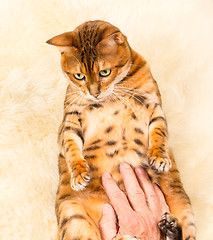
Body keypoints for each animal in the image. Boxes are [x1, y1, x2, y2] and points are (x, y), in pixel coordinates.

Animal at [47, 20, 196, 240]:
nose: (94, 93)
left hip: (184, 207)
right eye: (79, 76)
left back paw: (170, 227)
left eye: (105, 72)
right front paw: (79, 175)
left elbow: (159, 133)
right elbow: (70, 147)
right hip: (73, 216)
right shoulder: (70, 121)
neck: (113, 94)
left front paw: (160, 158)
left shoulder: (155, 108)